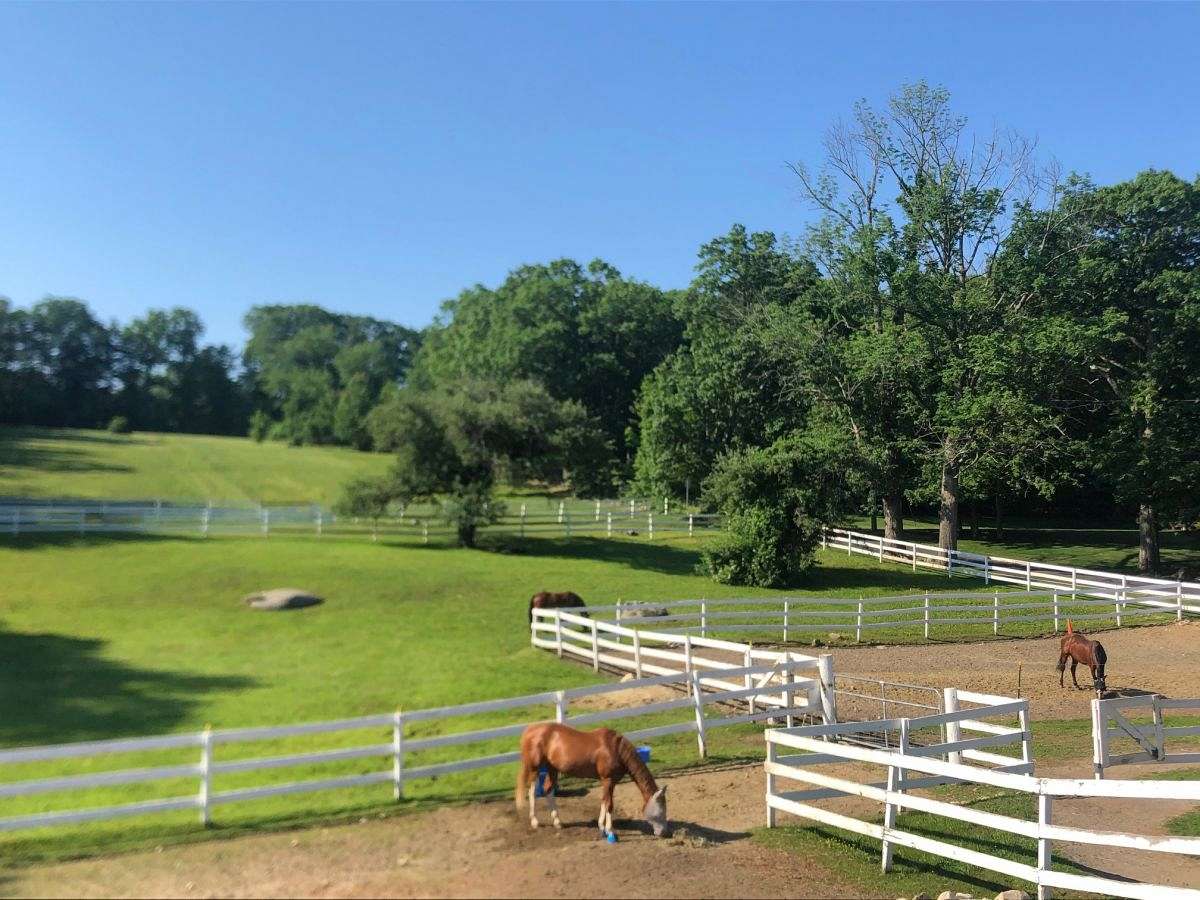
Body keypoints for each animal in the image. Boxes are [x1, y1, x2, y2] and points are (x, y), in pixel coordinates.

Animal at [516, 723, 668, 838]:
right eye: (660, 811)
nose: (664, 833)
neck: (616, 749)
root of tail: (529, 730)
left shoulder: (612, 782)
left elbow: (605, 802)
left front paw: (602, 827)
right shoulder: (607, 780)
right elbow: (608, 804)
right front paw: (609, 830)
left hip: (552, 769)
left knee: (548, 790)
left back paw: (558, 822)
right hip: (535, 768)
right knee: (532, 792)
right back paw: (535, 822)